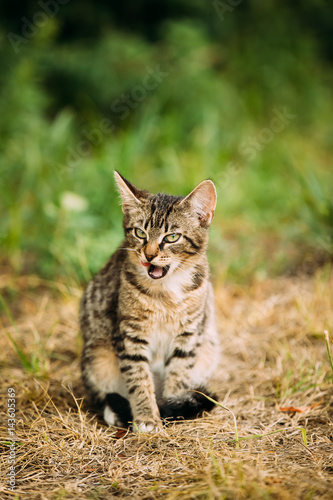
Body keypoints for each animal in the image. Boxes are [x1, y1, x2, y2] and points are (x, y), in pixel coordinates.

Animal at [79, 171, 219, 430]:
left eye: (172, 237)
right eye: (140, 233)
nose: (149, 254)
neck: (165, 294)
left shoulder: (189, 333)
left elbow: (179, 373)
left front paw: (172, 405)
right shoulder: (128, 334)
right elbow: (138, 378)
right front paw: (146, 417)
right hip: (96, 358)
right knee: (104, 395)